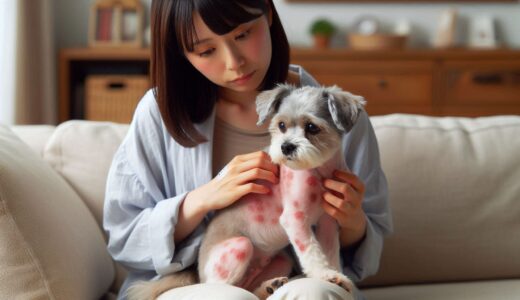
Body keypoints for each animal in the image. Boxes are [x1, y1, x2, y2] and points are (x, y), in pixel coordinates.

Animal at [128, 84, 366, 300]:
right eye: (281, 125)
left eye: (312, 127)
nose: (286, 147)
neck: (319, 170)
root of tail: (198, 272)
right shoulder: (295, 218)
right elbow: (311, 252)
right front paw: (325, 275)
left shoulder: (329, 221)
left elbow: (330, 252)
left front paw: (337, 277)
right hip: (240, 247)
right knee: (224, 287)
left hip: (282, 260)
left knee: (248, 286)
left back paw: (269, 286)